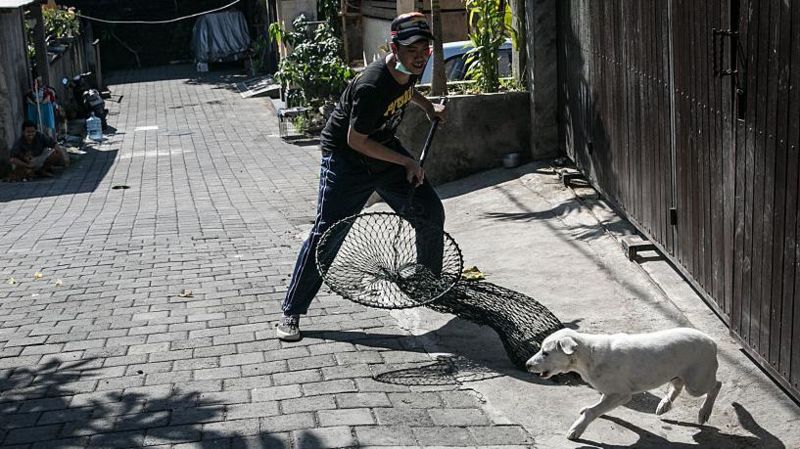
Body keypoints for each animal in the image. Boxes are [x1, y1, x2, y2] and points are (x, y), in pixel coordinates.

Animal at [528, 326, 720, 438]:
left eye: (545, 353)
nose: (527, 365)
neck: (589, 355)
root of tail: (712, 341)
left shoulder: (622, 395)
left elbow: (593, 411)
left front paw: (577, 428)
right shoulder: (609, 392)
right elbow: (598, 406)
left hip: (696, 384)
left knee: (716, 385)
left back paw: (704, 412)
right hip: (679, 375)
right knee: (678, 385)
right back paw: (664, 404)